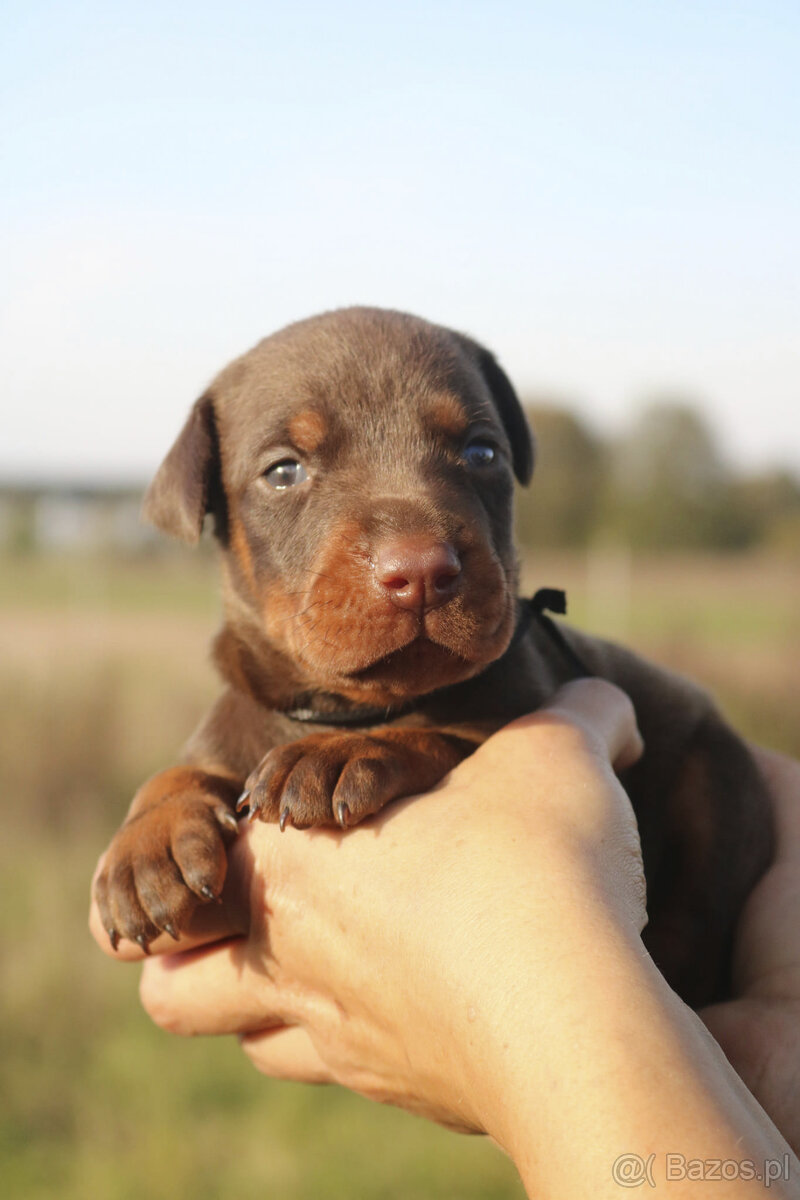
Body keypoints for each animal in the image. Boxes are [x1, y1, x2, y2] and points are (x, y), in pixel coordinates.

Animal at [95, 304, 777, 1008]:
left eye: (482, 452)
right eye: (283, 471)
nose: (421, 569)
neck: (344, 705)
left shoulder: (507, 705)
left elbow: (436, 731)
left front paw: (336, 755)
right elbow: (178, 771)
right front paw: (149, 843)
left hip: (717, 780)